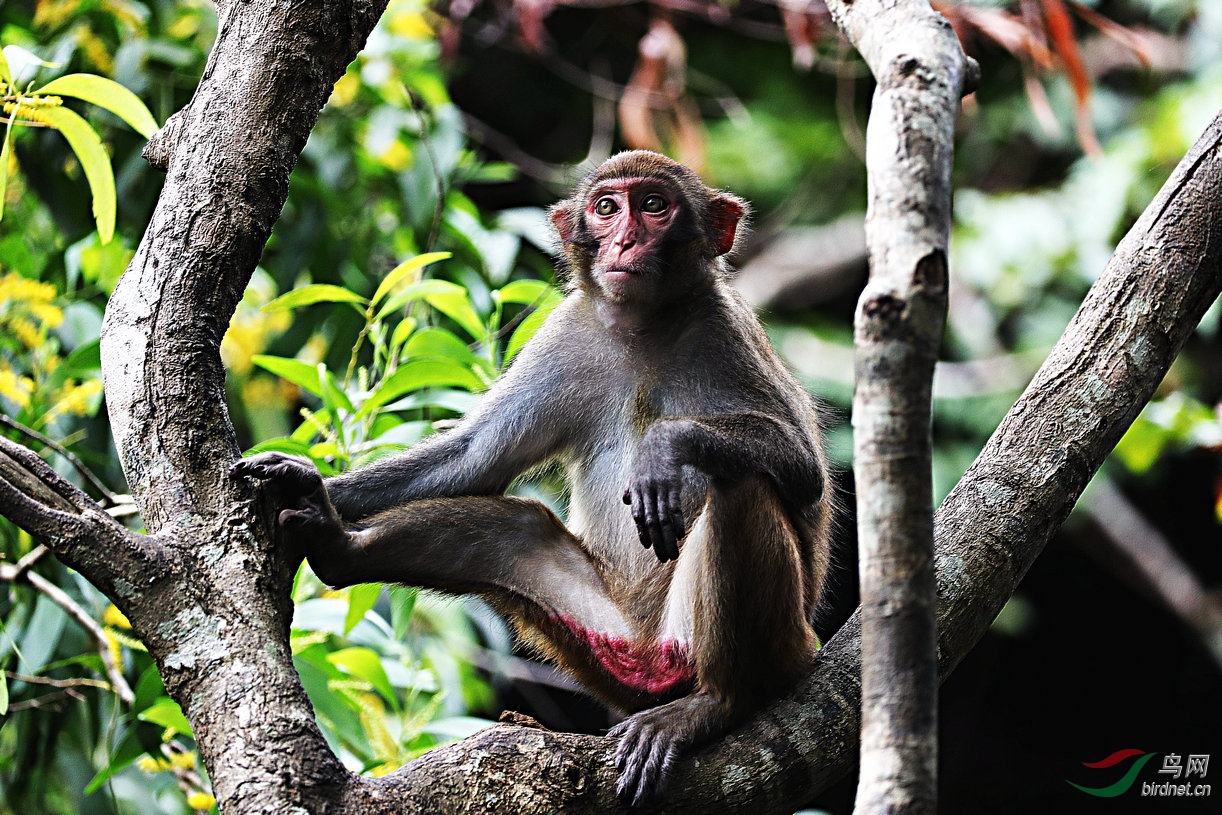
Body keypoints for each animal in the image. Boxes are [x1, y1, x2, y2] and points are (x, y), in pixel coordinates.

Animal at [230, 149, 830, 806]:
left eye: (654, 206)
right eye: (606, 207)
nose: (625, 239)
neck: (643, 327)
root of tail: (651, 656)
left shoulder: (727, 332)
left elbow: (803, 469)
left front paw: (665, 446)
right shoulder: (565, 334)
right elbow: (473, 459)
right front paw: (305, 483)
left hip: (773, 644)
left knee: (742, 483)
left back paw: (717, 702)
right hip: (603, 638)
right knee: (521, 529)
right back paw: (339, 545)